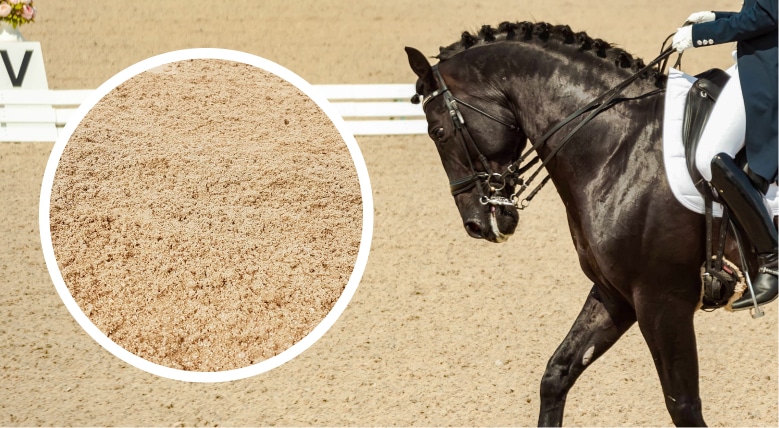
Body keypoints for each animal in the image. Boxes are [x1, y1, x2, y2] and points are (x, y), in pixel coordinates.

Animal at [408, 21, 760, 426]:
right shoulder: (616, 294)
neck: (621, 148)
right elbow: (557, 373)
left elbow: (683, 405)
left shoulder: (662, 300)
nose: (476, 225)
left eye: (437, 132)